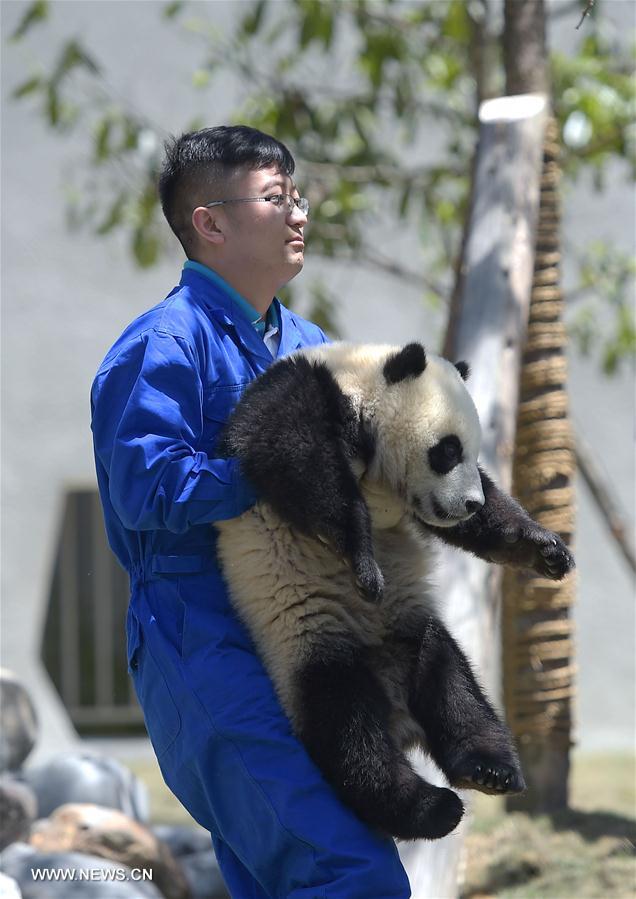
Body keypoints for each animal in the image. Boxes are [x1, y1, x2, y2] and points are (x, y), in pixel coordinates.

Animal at [215, 344, 576, 844]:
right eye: (447, 450)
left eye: (472, 453)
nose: (469, 503)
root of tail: (399, 715)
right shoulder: (300, 393)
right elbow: (300, 465)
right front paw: (364, 562)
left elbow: (487, 522)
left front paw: (546, 550)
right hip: (307, 641)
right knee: (346, 728)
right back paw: (428, 808)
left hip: (410, 630)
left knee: (451, 683)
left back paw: (488, 770)